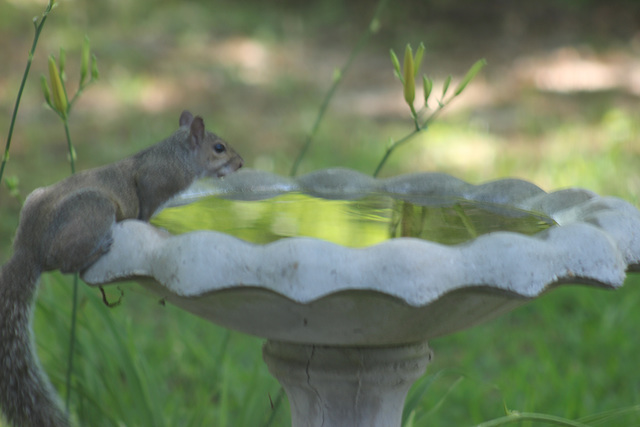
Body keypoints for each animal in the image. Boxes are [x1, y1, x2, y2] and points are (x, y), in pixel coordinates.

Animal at [0, 111, 242, 427]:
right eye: (219, 148)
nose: (241, 163)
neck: (175, 154)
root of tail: (28, 247)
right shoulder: (155, 184)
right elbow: (147, 214)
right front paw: (162, 229)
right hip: (94, 211)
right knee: (65, 265)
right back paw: (99, 250)